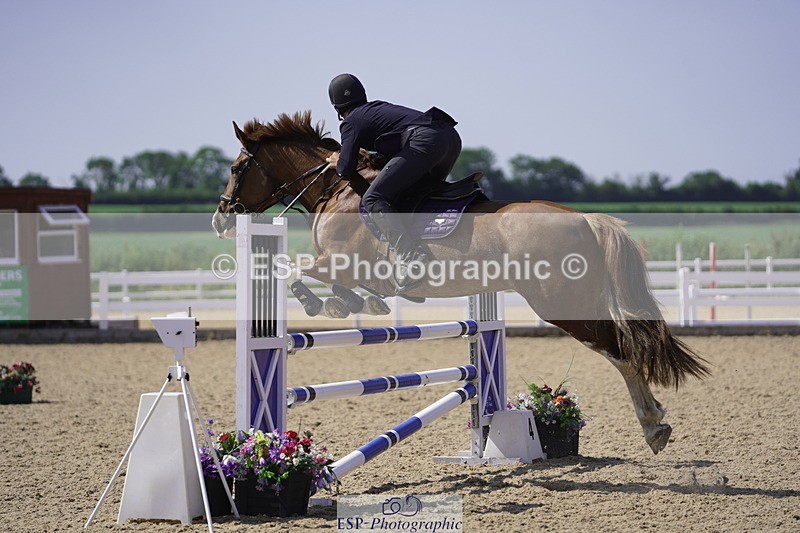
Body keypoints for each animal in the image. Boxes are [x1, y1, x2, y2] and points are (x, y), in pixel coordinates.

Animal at [212, 111, 710, 454]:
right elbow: (343, 287)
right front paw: (355, 304)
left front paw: (324, 305)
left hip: (562, 304)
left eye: (237, 168)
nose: (220, 219)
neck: (338, 189)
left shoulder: (340, 261)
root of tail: (585, 218)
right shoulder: (349, 268)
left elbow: (295, 270)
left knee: (619, 351)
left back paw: (654, 424)